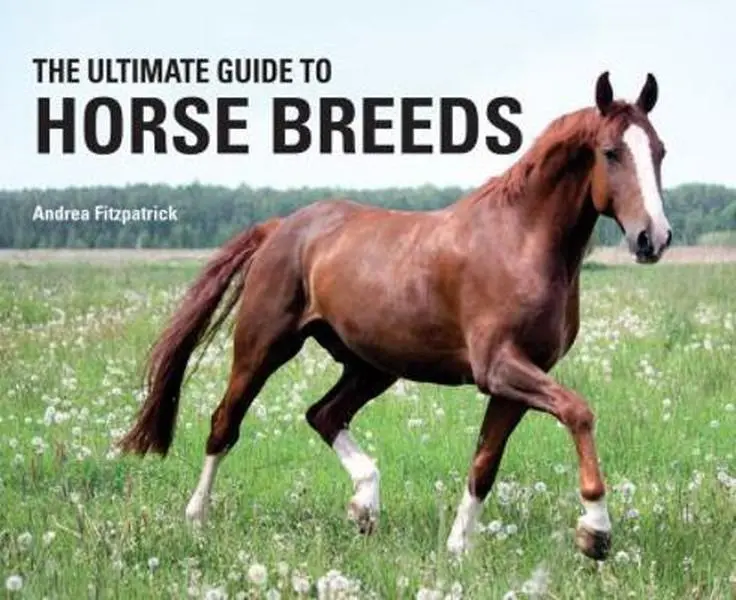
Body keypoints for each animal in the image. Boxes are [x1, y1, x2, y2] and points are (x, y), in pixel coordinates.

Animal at [118, 71, 672, 561]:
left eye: (660, 151)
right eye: (611, 152)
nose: (654, 238)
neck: (520, 241)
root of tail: (280, 228)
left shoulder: (518, 380)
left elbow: (484, 463)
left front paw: (459, 548)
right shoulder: (500, 368)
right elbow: (579, 411)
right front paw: (595, 532)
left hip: (372, 365)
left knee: (323, 414)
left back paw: (365, 504)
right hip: (263, 348)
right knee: (224, 424)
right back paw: (197, 520)